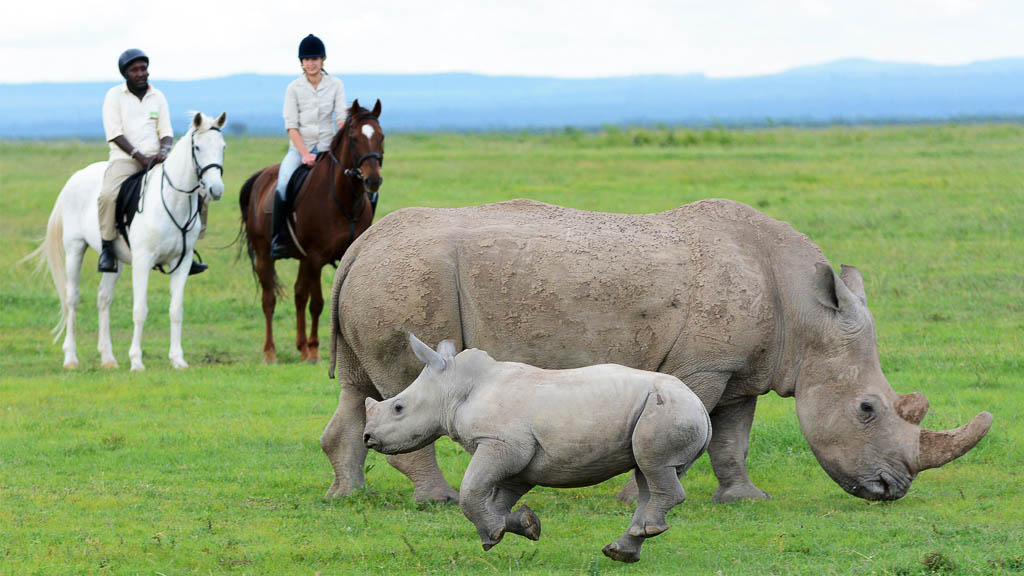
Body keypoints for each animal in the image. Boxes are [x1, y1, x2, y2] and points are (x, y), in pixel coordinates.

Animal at [29, 112, 227, 371]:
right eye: (197, 147)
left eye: (223, 147)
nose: (216, 190)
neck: (172, 201)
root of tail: (74, 178)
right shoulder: (143, 261)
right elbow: (140, 310)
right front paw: (136, 361)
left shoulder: (182, 262)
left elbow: (176, 310)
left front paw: (177, 359)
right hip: (75, 250)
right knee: (72, 299)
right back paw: (71, 358)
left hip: (116, 261)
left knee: (103, 299)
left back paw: (108, 358)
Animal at [238, 99, 384, 364]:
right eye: (355, 138)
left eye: (381, 136)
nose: (373, 180)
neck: (343, 200)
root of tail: (261, 176)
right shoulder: (315, 258)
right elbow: (317, 302)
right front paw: (315, 351)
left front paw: (313, 349)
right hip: (265, 255)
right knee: (269, 300)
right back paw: (271, 352)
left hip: (302, 260)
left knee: (298, 295)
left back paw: (301, 347)